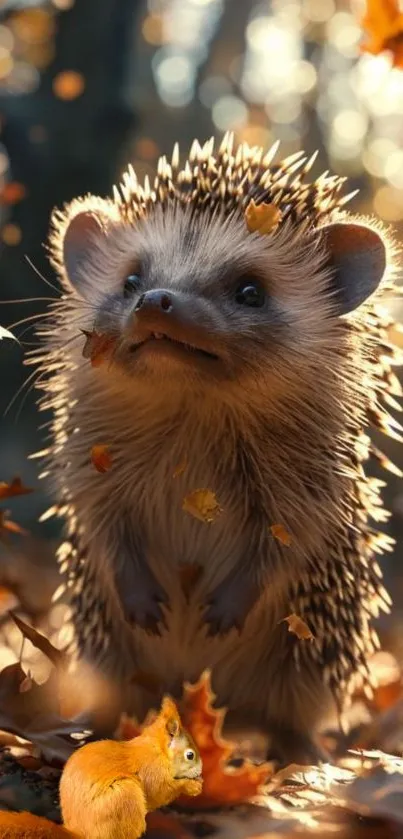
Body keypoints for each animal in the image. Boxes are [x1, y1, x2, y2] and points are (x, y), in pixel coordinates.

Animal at [0, 696, 202, 839]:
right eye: (190, 755)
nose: (201, 771)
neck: (156, 751)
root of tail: (79, 833)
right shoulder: (151, 770)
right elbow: (160, 791)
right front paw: (192, 786)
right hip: (124, 795)